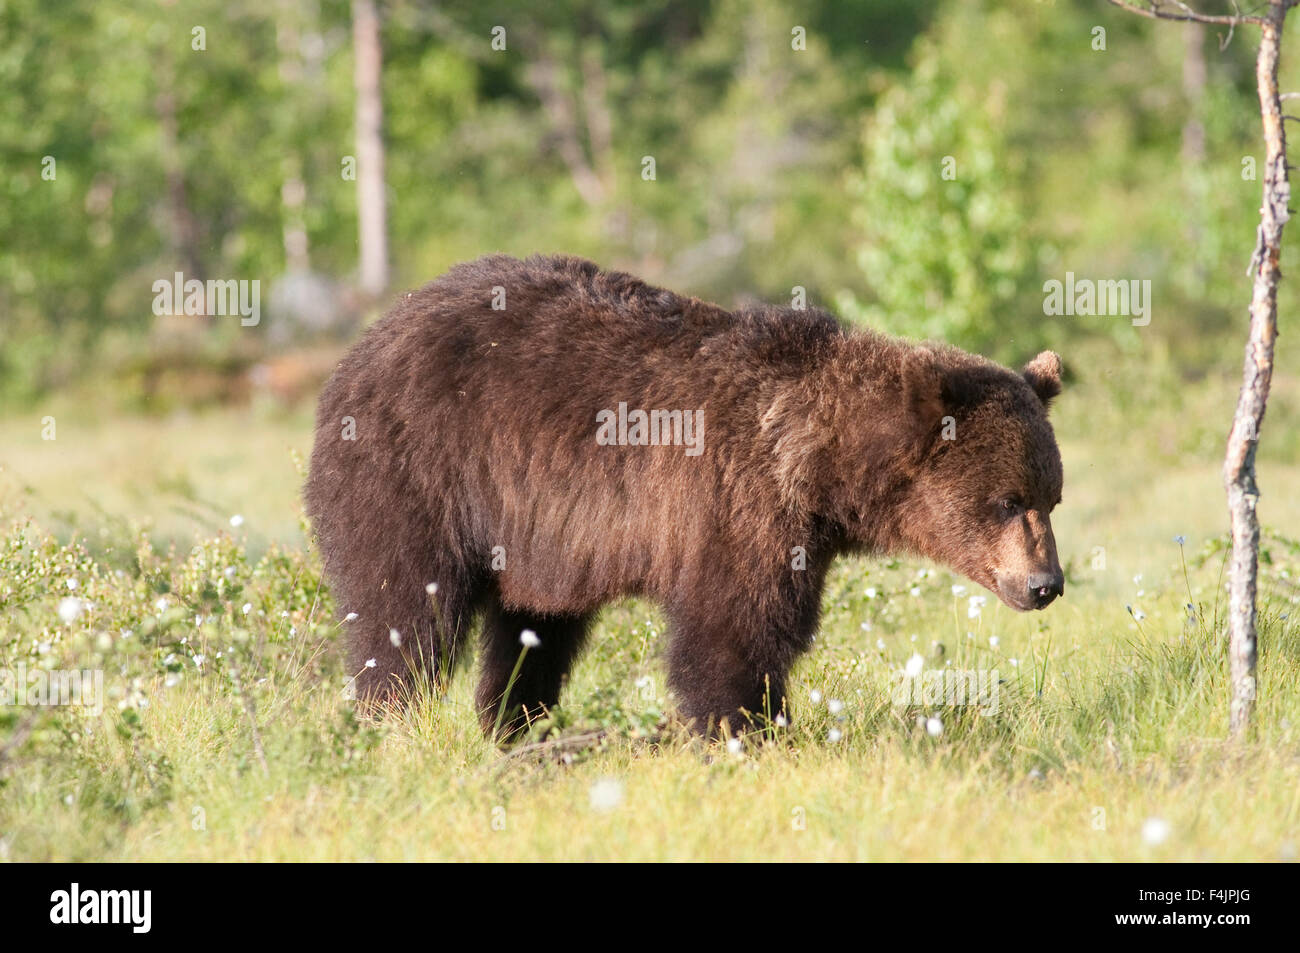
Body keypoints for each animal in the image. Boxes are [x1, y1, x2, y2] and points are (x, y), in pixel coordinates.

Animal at [304, 254, 1064, 739]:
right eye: (1006, 500)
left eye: (1049, 497)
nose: (1046, 583)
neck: (814, 464)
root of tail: (364, 341)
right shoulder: (734, 503)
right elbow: (733, 633)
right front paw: (749, 732)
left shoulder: (796, 532)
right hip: (418, 469)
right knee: (403, 609)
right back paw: (391, 718)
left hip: (526, 535)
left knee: (533, 633)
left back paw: (518, 727)